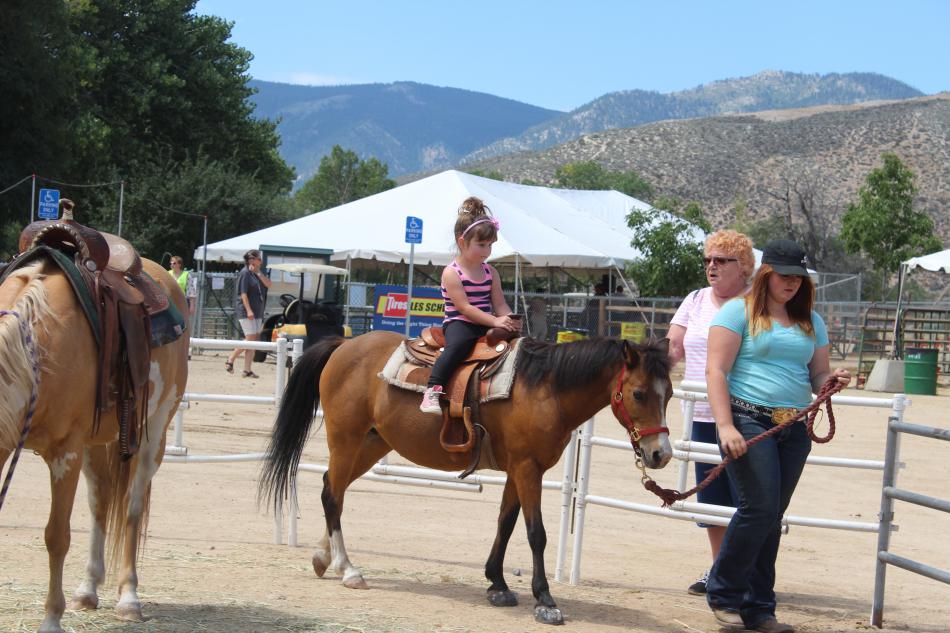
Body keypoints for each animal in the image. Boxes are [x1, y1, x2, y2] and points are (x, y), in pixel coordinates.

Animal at [0, 255, 189, 633]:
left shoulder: (66, 453)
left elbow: (57, 536)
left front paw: (51, 618)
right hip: (100, 444)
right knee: (101, 503)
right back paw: (87, 590)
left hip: (153, 433)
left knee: (131, 509)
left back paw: (129, 597)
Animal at [260, 330, 673, 625]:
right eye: (638, 393)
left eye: (668, 393)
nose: (661, 454)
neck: (544, 388)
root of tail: (345, 344)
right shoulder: (528, 469)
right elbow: (535, 533)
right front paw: (545, 600)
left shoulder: (519, 469)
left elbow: (505, 523)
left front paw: (498, 584)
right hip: (346, 439)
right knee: (333, 495)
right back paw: (348, 569)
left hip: (371, 444)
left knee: (333, 489)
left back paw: (322, 557)